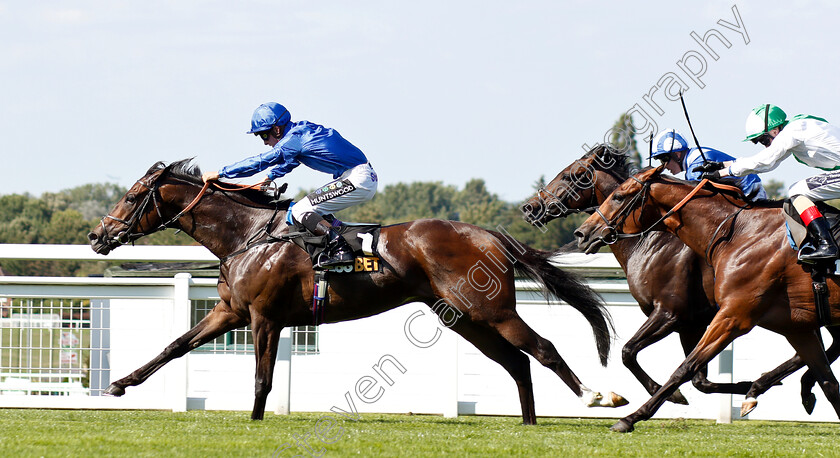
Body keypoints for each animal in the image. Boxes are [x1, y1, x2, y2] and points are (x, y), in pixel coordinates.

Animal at [88, 159, 628, 424]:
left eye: (132, 197)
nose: (97, 236)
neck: (251, 235)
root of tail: (489, 234)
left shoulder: (265, 317)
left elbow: (262, 378)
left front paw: (256, 421)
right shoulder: (231, 311)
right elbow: (175, 345)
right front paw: (120, 385)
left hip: (490, 310)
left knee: (543, 347)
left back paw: (599, 396)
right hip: (462, 317)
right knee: (516, 360)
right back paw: (529, 423)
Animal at [576, 165, 840, 432]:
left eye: (619, 196)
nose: (582, 233)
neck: (739, 233)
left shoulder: (723, 317)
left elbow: (682, 368)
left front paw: (632, 417)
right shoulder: (794, 327)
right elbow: (829, 383)